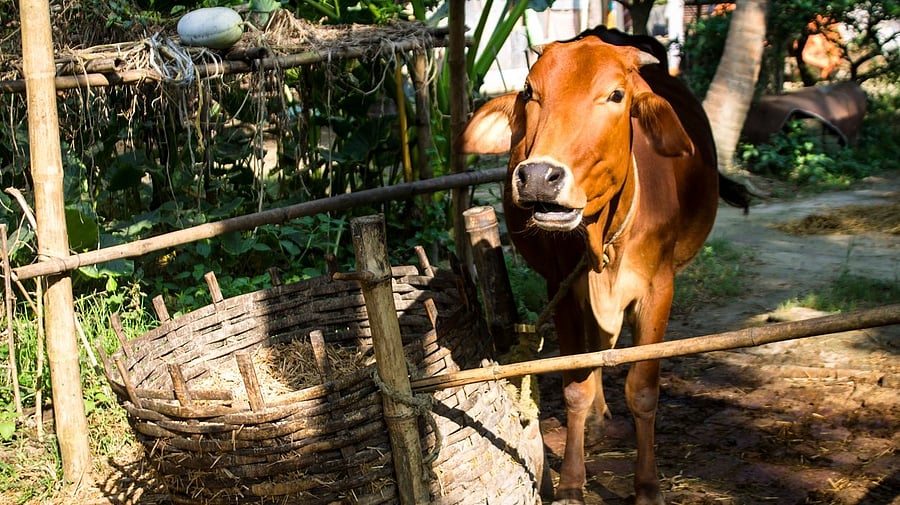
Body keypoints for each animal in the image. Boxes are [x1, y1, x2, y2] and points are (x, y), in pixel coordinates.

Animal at [459, 27, 750, 505]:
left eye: (616, 94)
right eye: (530, 91)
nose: (538, 177)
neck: (605, 239)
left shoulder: (658, 290)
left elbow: (644, 391)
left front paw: (647, 486)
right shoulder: (562, 290)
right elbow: (574, 386)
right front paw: (572, 483)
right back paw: (596, 416)